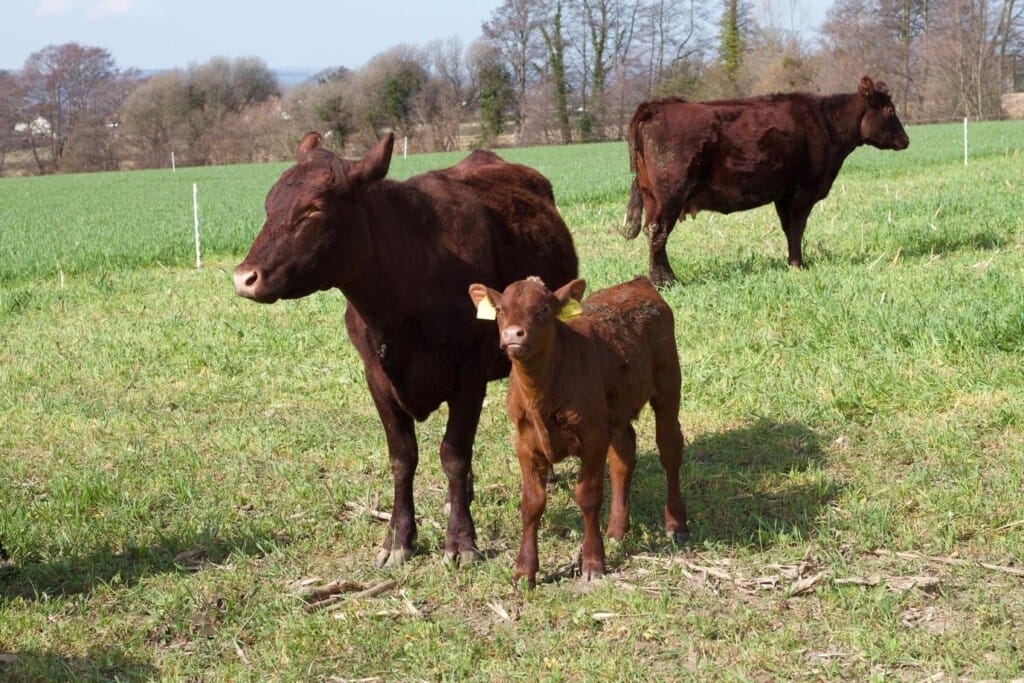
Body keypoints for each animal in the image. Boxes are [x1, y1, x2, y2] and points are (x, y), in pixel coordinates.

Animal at [234, 132, 578, 569]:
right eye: (269, 204)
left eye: (314, 208)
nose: (244, 277)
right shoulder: (376, 376)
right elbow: (403, 457)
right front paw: (398, 538)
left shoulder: (470, 372)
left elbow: (454, 453)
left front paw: (461, 541)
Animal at [468, 276, 688, 587]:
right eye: (500, 310)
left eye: (544, 309)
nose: (513, 334)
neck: (543, 392)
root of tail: (637, 282)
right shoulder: (524, 441)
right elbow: (532, 503)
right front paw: (525, 570)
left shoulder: (593, 436)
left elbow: (588, 496)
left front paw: (593, 561)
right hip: (615, 410)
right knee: (624, 456)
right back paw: (617, 530)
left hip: (668, 385)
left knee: (669, 449)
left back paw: (676, 524)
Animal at [624, 76, 910, 285]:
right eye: (890, 109)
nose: (906, 140)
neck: (826, 124)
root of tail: (656, 107)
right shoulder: (804, 190)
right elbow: (797, 227)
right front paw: (798, 264)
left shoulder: (784, 194)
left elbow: (788, 228)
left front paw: (792, 262)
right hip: (671, 193)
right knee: (659, 231)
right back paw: (666, 280)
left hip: (652, 195)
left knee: (652, 231)